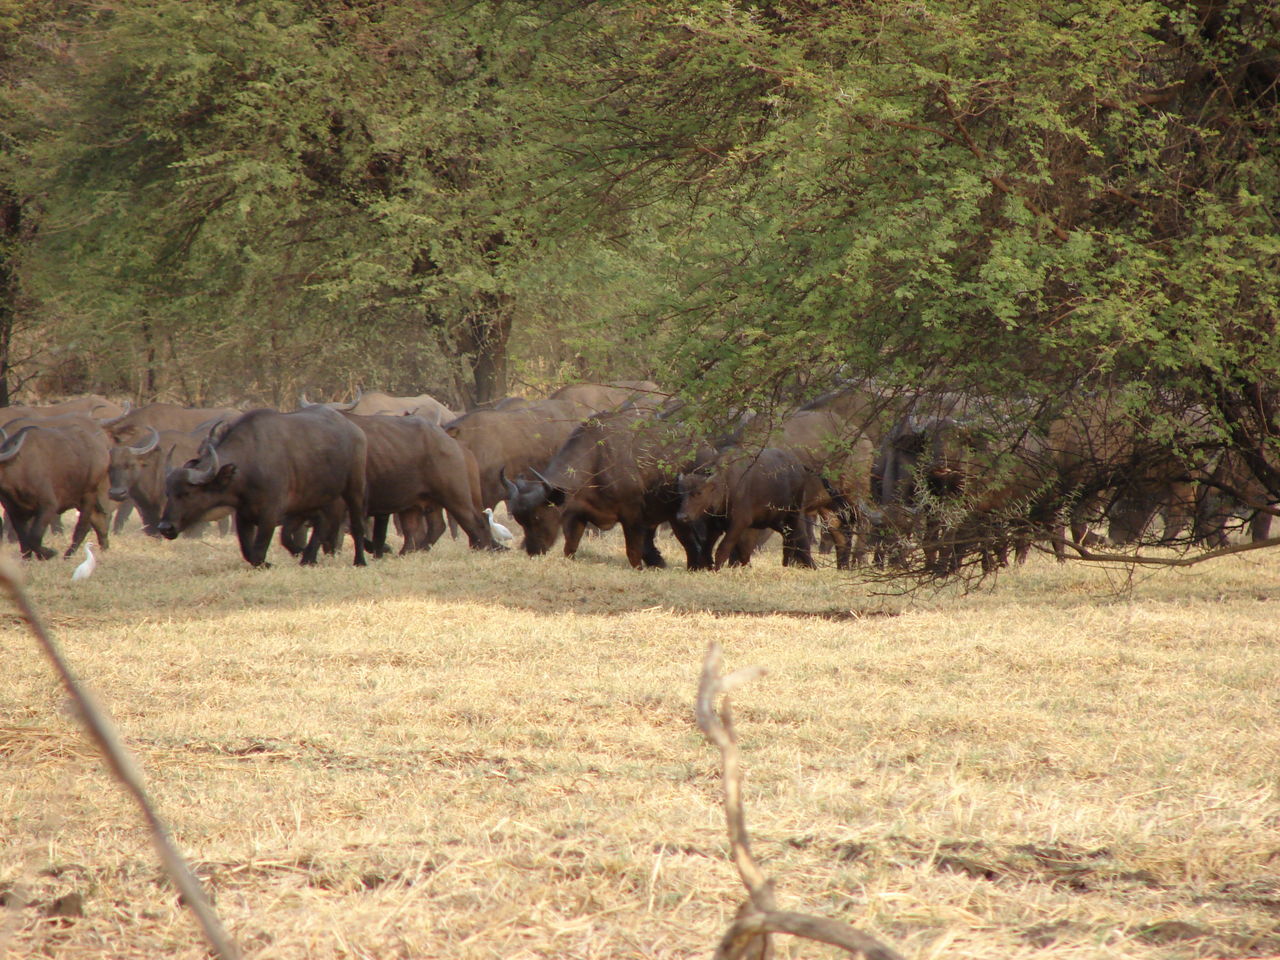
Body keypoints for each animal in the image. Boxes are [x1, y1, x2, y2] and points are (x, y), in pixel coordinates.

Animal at [0, 422, 111, 563]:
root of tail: (102, 447)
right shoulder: (15, 512)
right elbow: (23, 539)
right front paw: (27, 560)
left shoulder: (48, 506)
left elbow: (34, 536)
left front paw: (48, 553)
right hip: (78, 499)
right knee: (99, 520)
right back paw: (104, 549)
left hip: (89, 494)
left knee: (83, 527)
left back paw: (68, 555)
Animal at [154, 404, 368, 568]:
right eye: (168, 493)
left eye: (187, 493)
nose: (165, 527)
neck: (250, 465)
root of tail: (355, 431)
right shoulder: (243, 515)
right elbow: (248, 552)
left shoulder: (270, 514)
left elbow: (258, 551)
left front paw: (268, 563)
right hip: (318, 498)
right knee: (322, 524)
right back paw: (307, 557)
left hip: (354, 489)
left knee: (356, 525)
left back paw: (359, 561)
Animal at [675, 450, 814, 576]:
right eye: (681, 493)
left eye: (698, 493)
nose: (682, 517)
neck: (725, 487)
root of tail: (799, 466)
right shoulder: (714, 526)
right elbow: (709, 548)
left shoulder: (739, 523)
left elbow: (723, 548)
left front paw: (716, 570)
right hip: (773, 521)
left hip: (792, 516)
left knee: (790, 540)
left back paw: (786, 565)